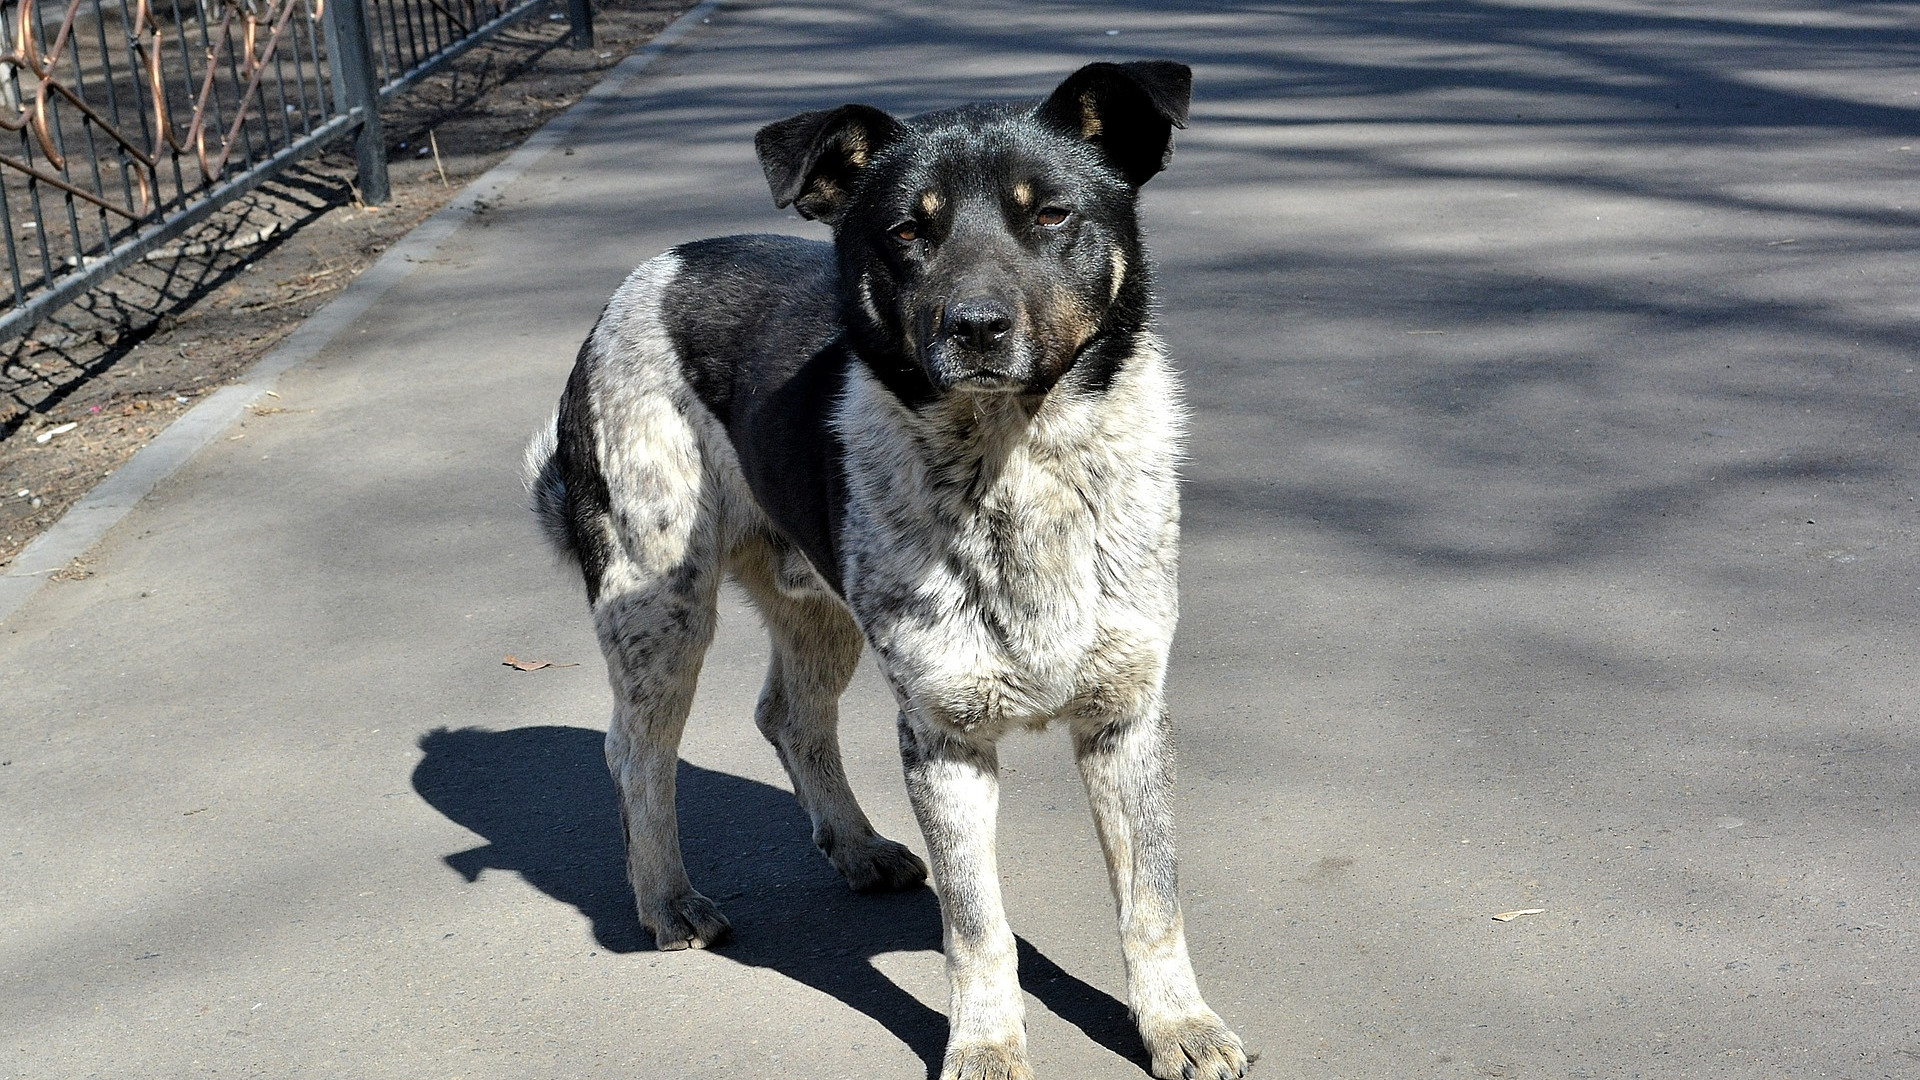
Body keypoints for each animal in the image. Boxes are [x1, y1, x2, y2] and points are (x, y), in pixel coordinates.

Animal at [526, 61, 1244, 1076]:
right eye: (908, 230)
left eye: (1050, 214)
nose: (975, 326)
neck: (1013, 464)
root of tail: (646, 276)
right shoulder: (944, 737)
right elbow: (977, 925)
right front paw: (986, 1046)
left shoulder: (1126, 718)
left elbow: (1152, 900)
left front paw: (1179, 1025)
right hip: (660, 609)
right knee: (637, 753)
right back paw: (668, 901)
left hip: (816, 609)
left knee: (787, 715)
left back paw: (858, 846)